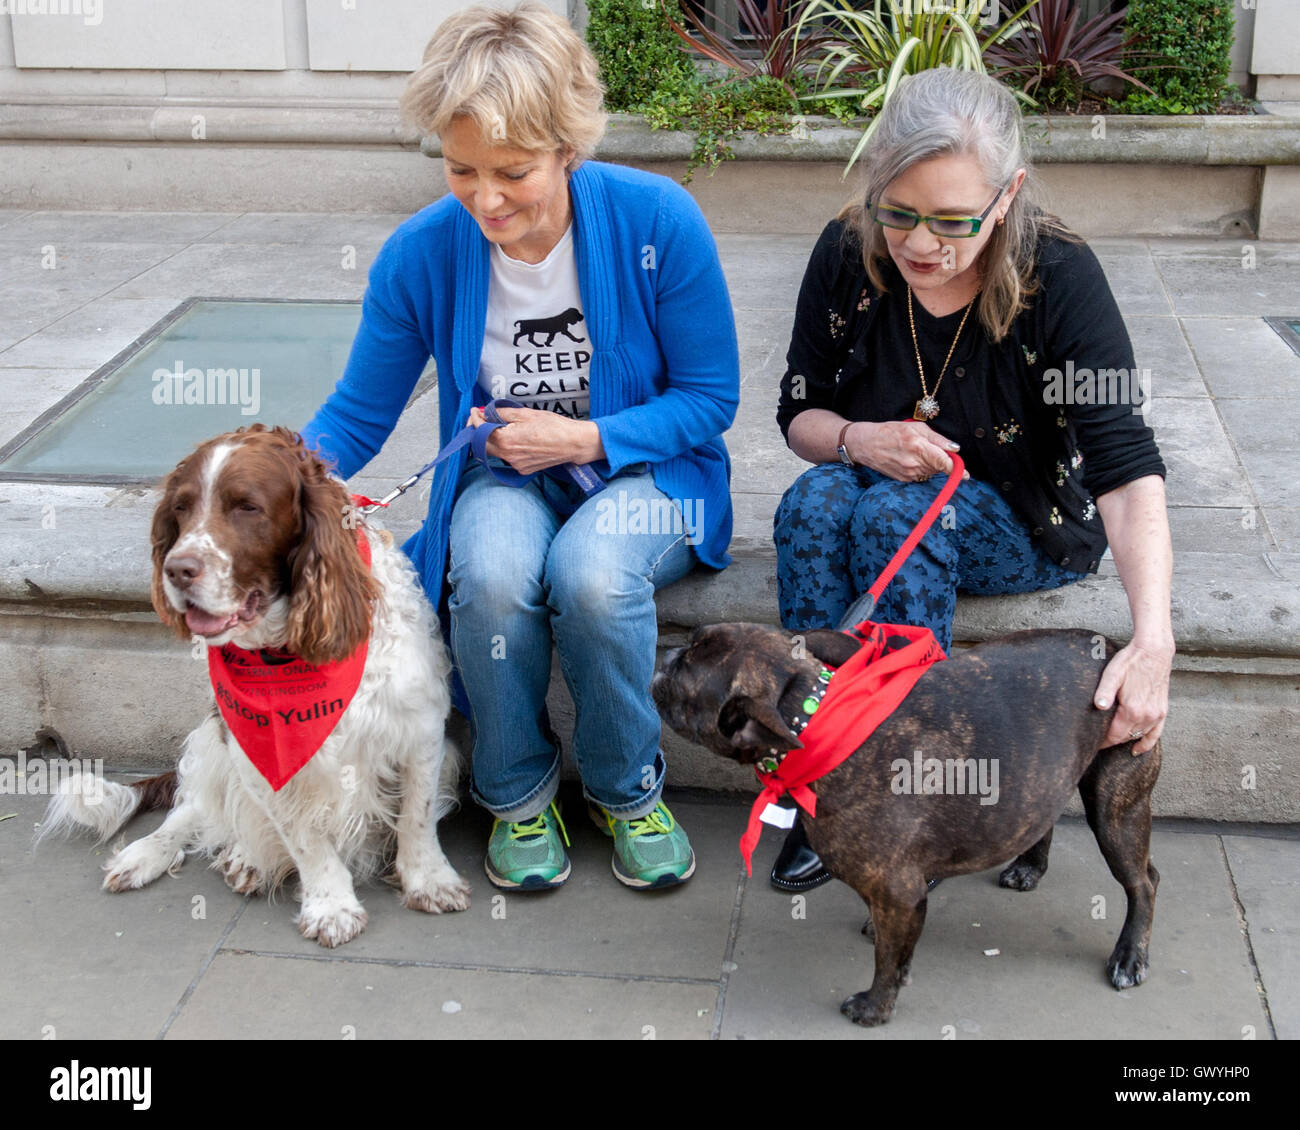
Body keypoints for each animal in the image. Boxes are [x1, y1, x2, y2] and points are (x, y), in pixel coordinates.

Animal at [44, 423, 473, 941]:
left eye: (247, 506)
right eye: (181, 508)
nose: (176, 570)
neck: (291, 647)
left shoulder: (421, 730)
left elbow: (417, 816)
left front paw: (428, 880)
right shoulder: (258, 754)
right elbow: (306, 839)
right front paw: (331, 907)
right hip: (213, 738)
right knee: (192, 809)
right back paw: (159, 855)